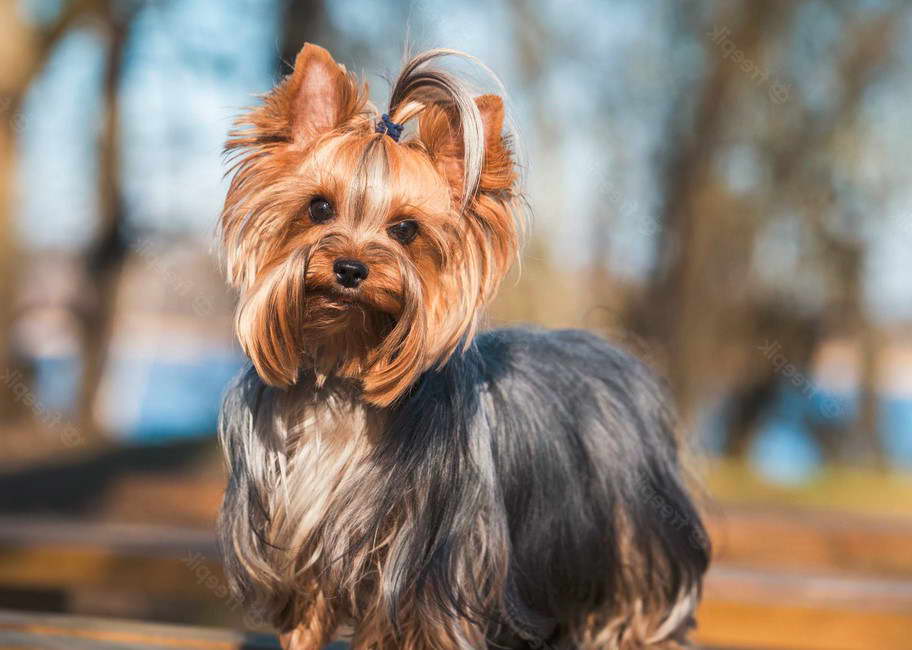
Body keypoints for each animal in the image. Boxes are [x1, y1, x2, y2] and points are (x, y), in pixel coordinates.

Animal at [217, 43, 708, 644]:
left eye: (405, 229)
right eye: (319, 208)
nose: (350, 268)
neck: (342, 377)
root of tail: (619, 356)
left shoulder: (416, 573)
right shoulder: (297, 546)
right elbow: (306, 617)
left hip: (631, 544)